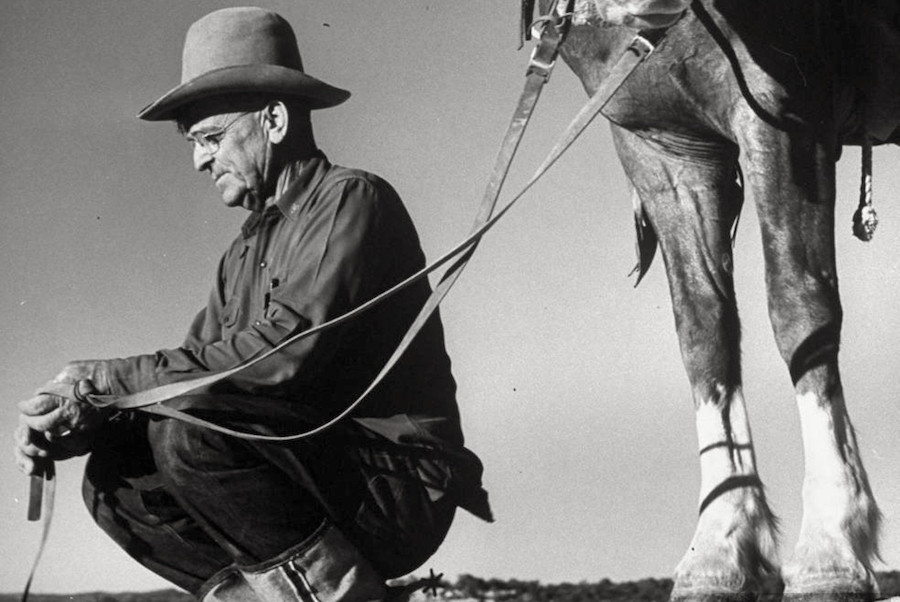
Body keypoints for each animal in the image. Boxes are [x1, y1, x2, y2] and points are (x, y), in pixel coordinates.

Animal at [528, 1, 900, 600]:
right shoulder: (662, 147)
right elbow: (704, 328)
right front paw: (719, 549)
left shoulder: (786, 114)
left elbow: (799, 305)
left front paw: (830, 549)